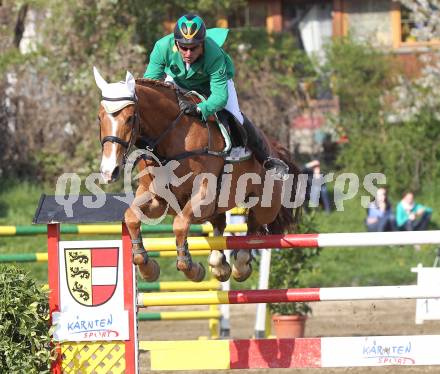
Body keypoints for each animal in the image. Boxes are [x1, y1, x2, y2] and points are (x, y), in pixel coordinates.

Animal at [92, 68, 300, 284]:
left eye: (130, 118)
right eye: (99, 118)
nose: (109, 171)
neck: (169, 141)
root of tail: (275, 148)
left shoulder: (203, 195)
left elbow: (180, 224)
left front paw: (191, 268)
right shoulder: (157, 198)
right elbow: (132, 217)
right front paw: (148, 268)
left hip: (265, 205)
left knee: (253, 228)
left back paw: (240, 267)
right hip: (218, 207)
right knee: (220, 224)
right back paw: (219, 266)